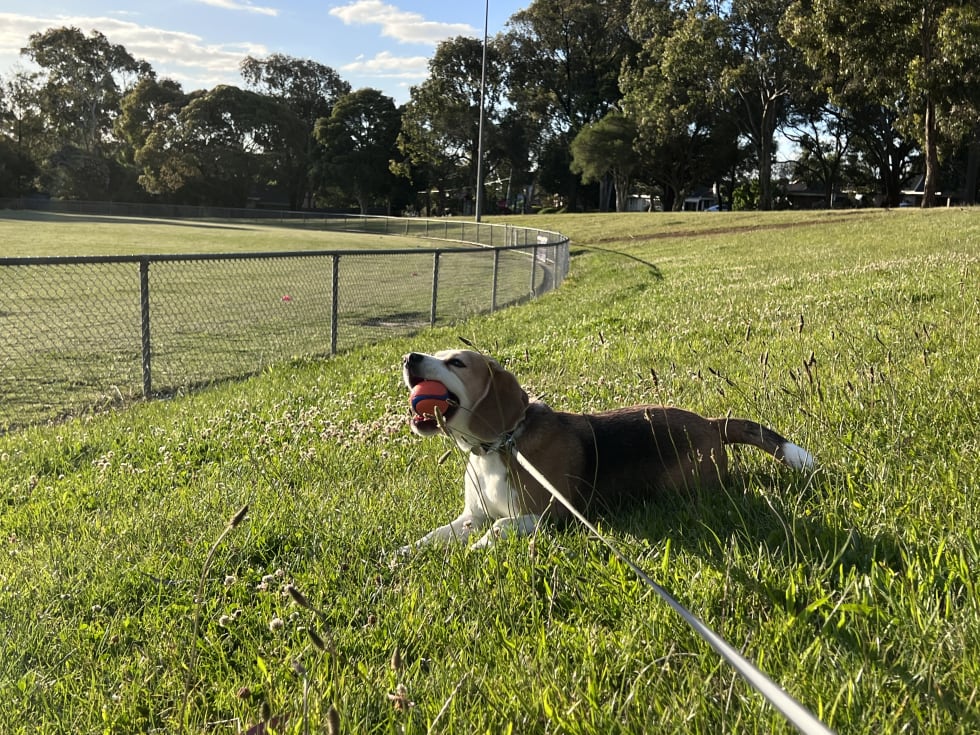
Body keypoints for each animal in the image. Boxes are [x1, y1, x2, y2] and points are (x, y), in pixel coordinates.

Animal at [398, 348, 812, 548]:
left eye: (456, 362)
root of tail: (710, 423)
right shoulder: (474, 515)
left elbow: (501, 526)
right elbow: (438, 535)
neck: (499, 446)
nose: (409, 357)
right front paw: (405, 553)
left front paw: (479, 547)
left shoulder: (550, 514)